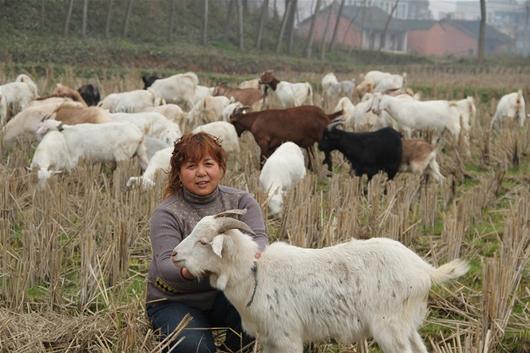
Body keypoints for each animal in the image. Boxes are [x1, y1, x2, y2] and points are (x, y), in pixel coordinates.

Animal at [172, 209, 466, 352]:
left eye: (203, 241)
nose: (174, 255)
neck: (254, 273)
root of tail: (425, 270)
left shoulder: (287, 337)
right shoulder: (269, 339)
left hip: (390, 327)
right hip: (406, 325)